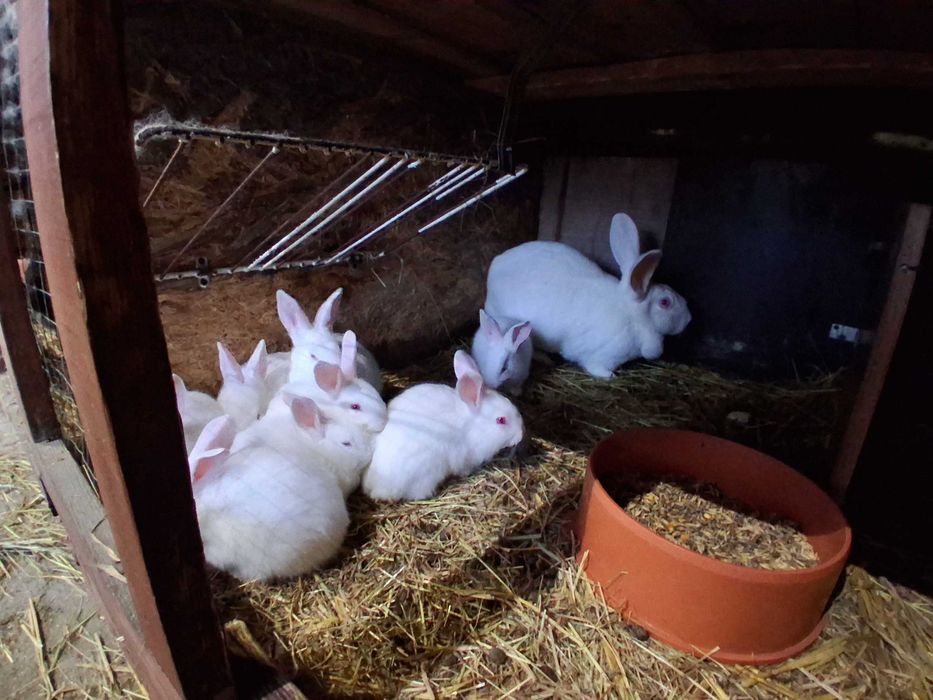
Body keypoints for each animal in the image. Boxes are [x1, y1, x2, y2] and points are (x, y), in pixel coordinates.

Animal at [484, 212, 691, 379]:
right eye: (665, 302)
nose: (689, 319)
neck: (632, 317)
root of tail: (495, 265)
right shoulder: (603, 356)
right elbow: (597, 368)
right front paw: (611, 376)